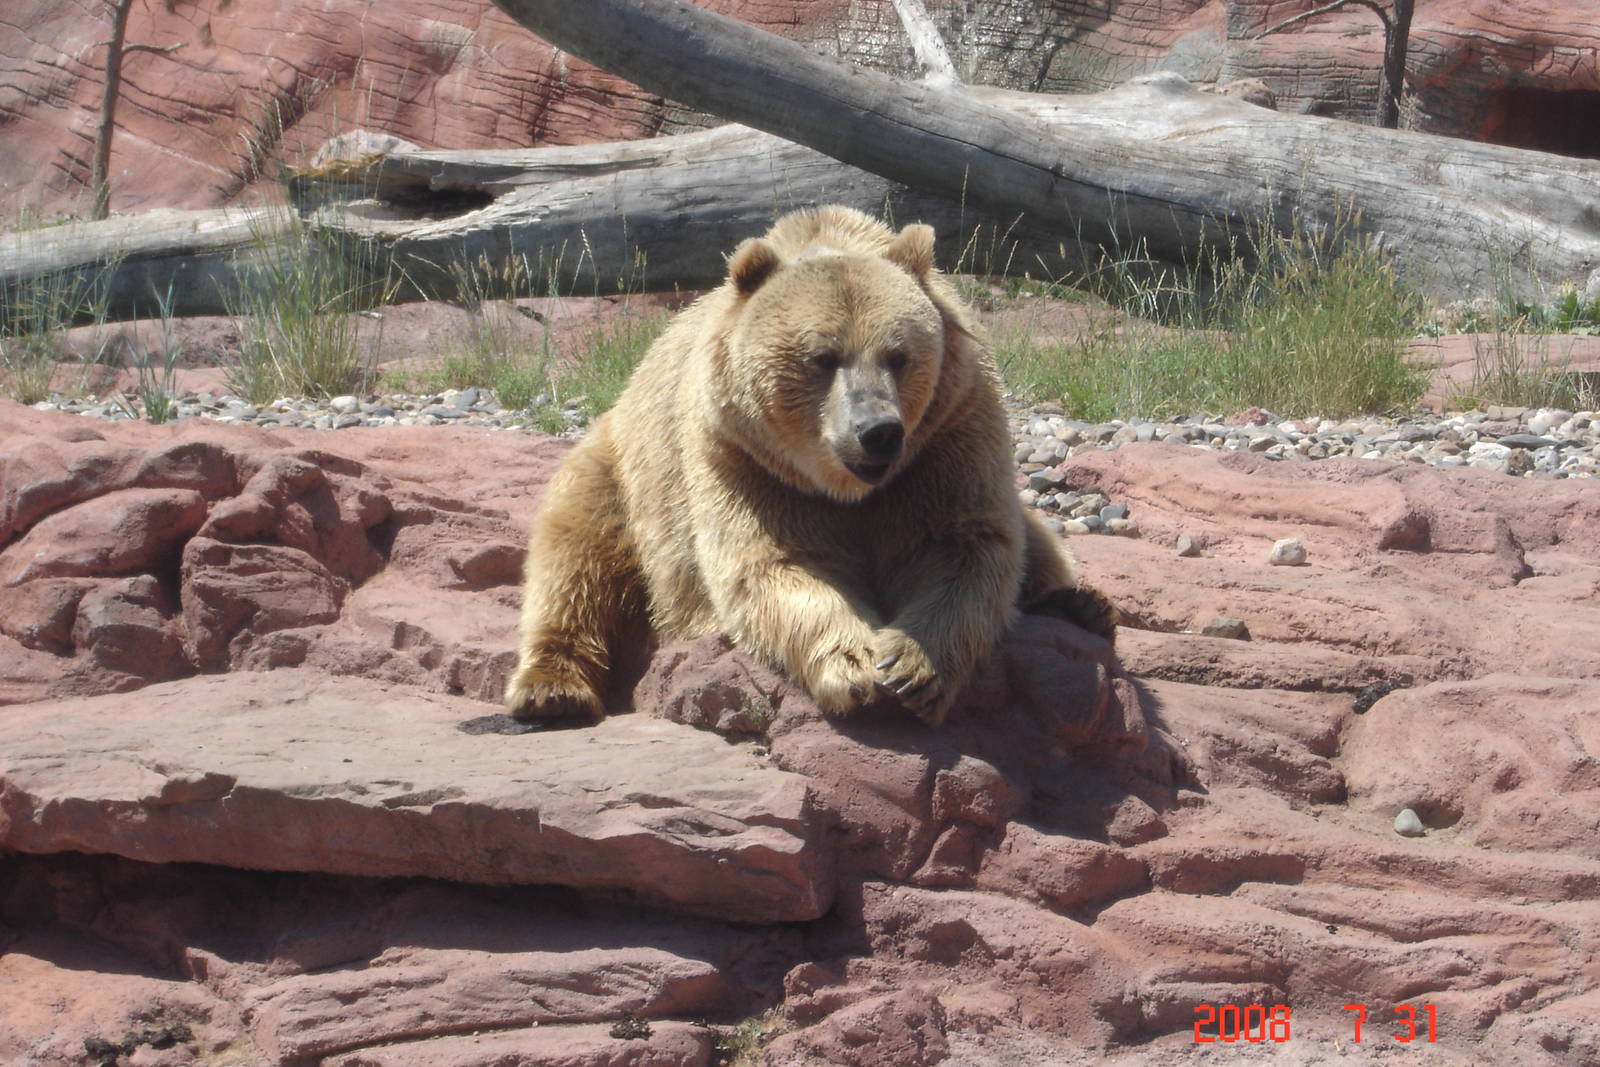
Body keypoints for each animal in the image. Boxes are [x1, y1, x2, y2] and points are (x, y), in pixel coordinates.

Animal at [505, 205, 1115, 727]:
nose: (878, 432)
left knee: (1039, 540)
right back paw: (551, 690)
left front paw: (914, 667)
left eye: (899, 355)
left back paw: (1078, 604)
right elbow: (774, 563)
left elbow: (964, 544)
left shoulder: (947, 435)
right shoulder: (743, 457)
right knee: (575, 556)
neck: (845, 488)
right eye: (823, 357)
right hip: (621, 475)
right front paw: (857, 666)